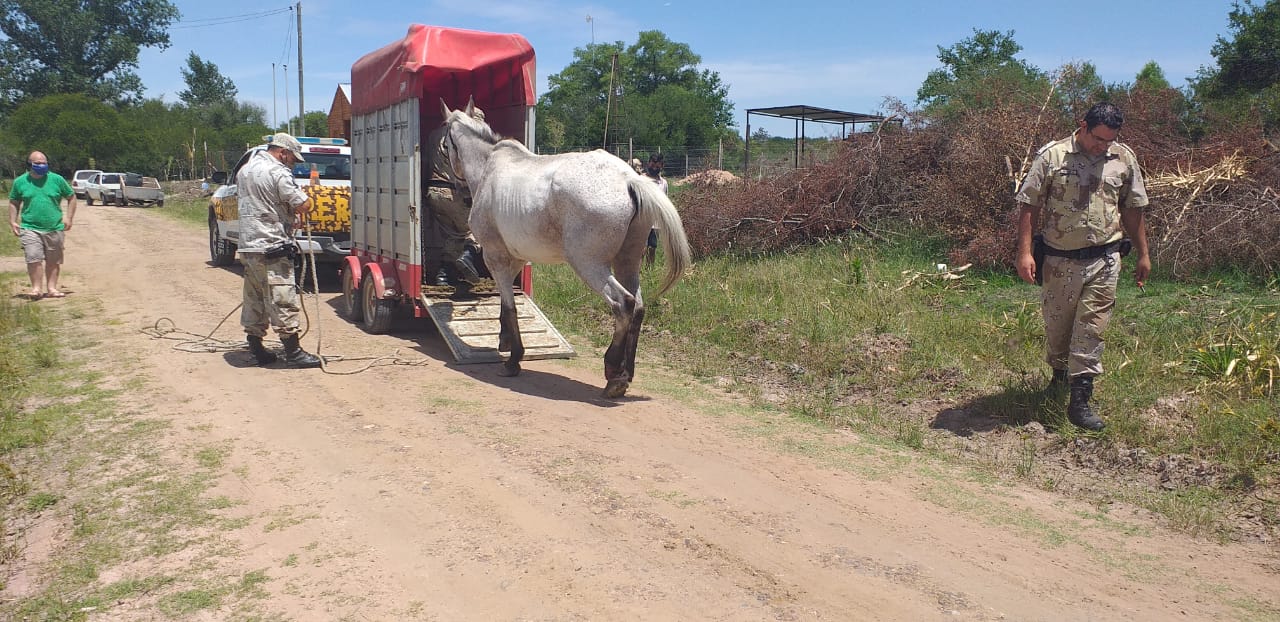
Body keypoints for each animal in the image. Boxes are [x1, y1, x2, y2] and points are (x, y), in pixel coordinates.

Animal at [445, 99, 696, 396]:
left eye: (445, 144)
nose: (459, 191)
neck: (489, 167)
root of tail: (628, 179)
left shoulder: (496, 257)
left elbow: (509, 305)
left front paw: (514, 359)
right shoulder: (514, 258)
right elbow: (506, 305)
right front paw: (504, 340)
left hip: (589, 265)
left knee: (624, 304)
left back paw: (613, 372)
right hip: (628, 261)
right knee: (638, 307)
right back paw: (626, 373)